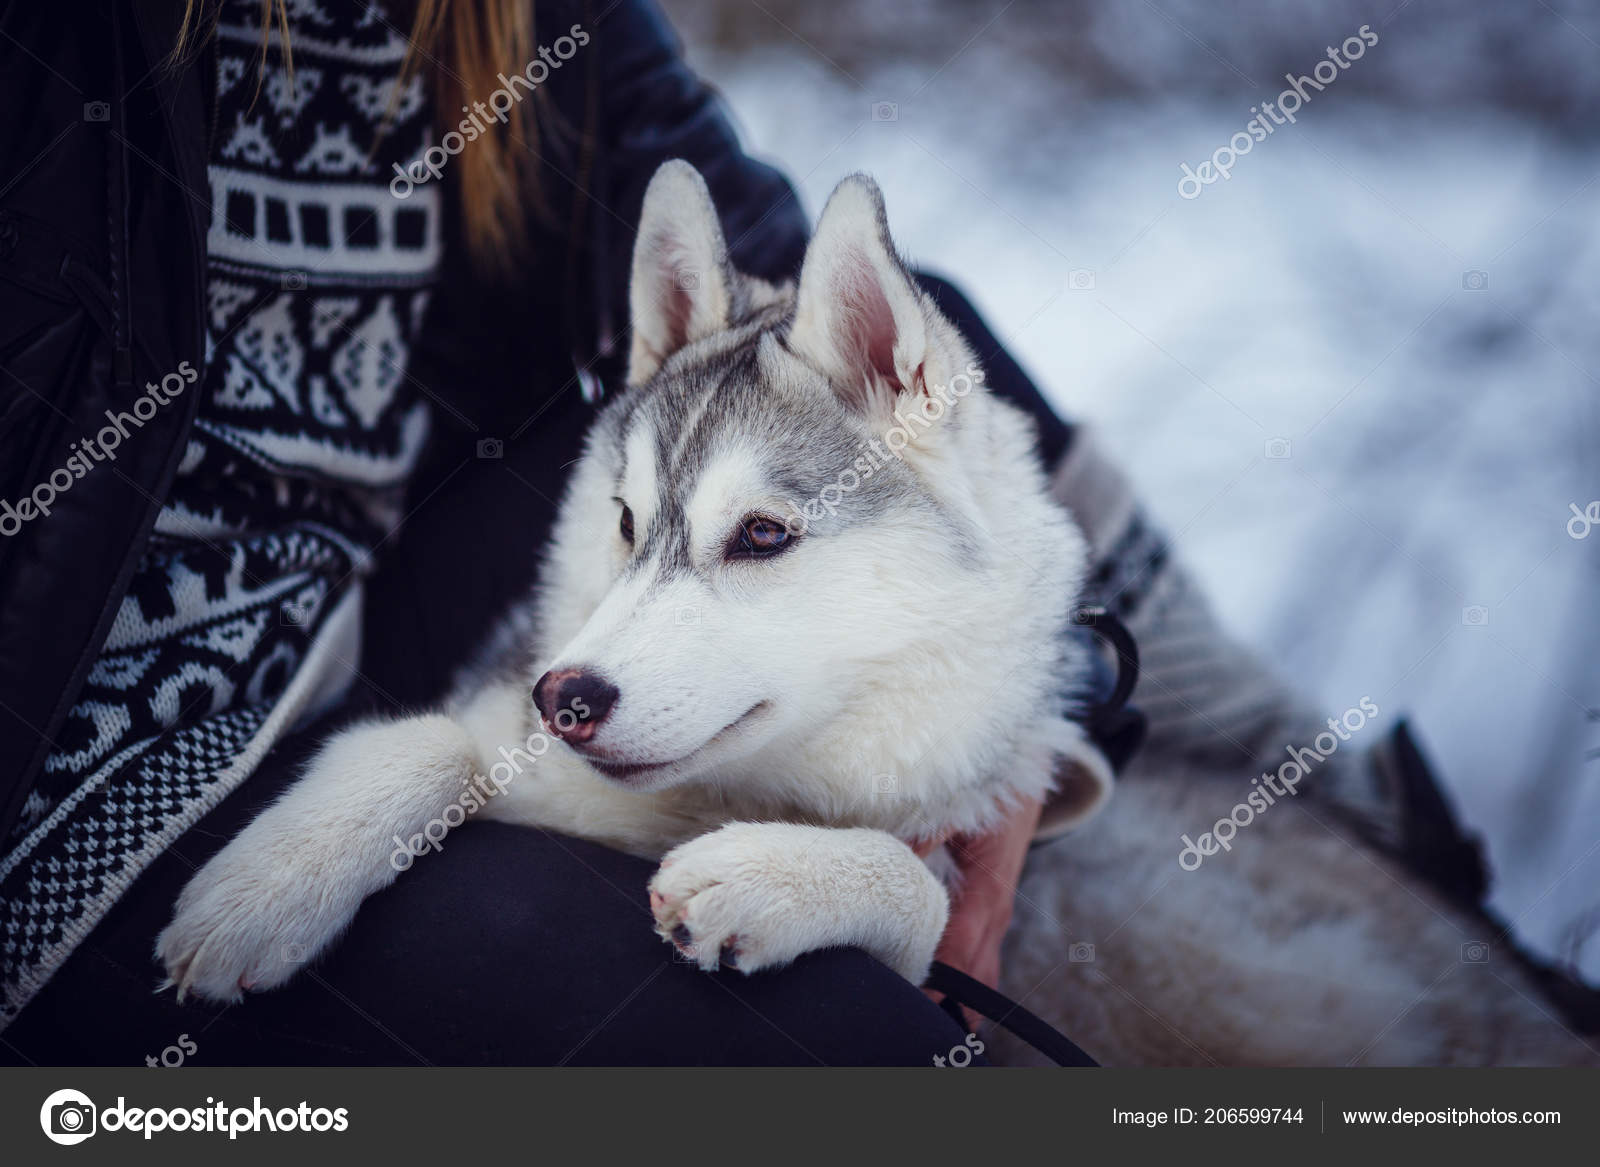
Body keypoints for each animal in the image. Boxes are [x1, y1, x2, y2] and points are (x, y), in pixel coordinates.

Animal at [162, 161, 1113, 998]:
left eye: (762, 534)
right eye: (626, 521)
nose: (563, 698)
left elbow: (922, 898)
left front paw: (775, 875)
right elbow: (432, 740)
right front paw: (268, 888)